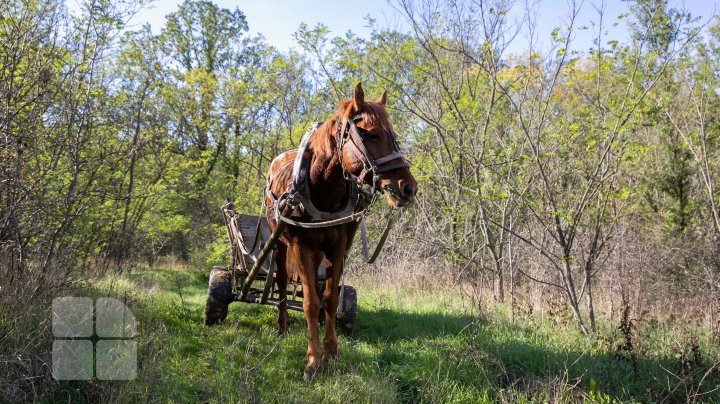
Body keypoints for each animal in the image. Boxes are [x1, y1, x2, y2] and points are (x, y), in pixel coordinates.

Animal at [264, 82, 416, 378]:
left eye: (392, 135)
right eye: (371, 134)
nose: (408, 188)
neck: (321, 188)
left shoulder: (337, 247)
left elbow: (330, 300)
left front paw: (332, 353)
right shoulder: (301, 247)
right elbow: (311, 302)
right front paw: (313, 361)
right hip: (280, 243)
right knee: (281, 281)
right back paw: (282, 325)